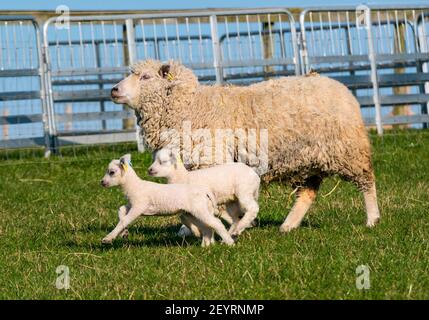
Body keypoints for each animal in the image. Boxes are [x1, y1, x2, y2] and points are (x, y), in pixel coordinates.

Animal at [99, 154, 234, 246]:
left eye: (112, 172)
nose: (102, 182)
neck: (135, 186)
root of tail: (205, 192)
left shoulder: (139, 206)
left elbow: (125, 220)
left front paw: (108, 238)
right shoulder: (132, 204)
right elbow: (121, 210)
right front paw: (124, 233)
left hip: (199, 209)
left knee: (217, 223)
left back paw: (229, 242)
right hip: (193, 212)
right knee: (207, 226)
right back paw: (206, 246)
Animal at [111, 58, 382, 231]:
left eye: (145, 77)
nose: (114, 90)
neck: (192, 106)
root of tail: (339, 86)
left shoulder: (212, 160)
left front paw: (233, 223)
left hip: (348, 150)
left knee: (367, 182)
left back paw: (372, 219)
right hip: (307, 159)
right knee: (308, 192)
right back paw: (288, 226)